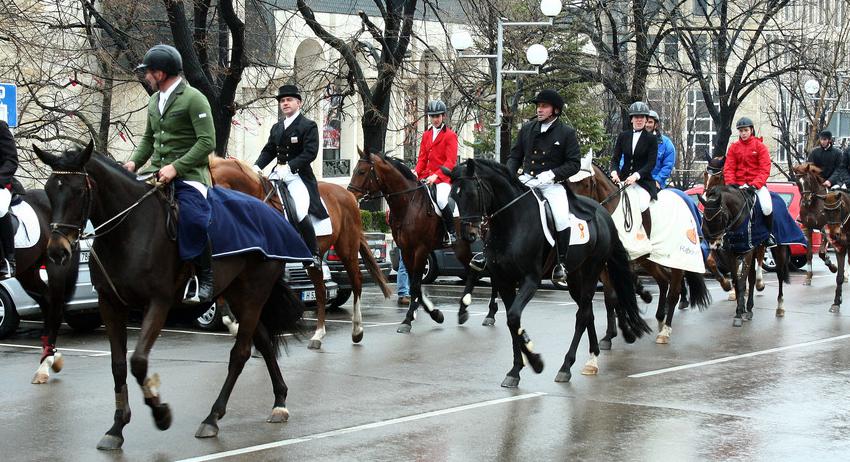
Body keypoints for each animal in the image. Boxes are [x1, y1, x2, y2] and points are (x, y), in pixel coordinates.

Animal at [37, 143, 308, 450]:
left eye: (79, 191)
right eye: (49, 190)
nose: (57, 251)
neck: (129, 230)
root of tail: (273, 212)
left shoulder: (158, 303)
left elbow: (138, 362)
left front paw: (160, 413)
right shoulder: (110, 304)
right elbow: (118, 366)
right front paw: (116, 427)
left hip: (253, 295)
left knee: (240, 353)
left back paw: (212, 417)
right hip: (237, 295)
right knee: (262, 341)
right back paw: (279, 401)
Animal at [205, 153, 390, 348]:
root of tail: (348, 195)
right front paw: (233, 325)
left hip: (347, 248)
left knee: (356, 282)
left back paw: (357, 330)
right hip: (314, 261)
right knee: (320, 290)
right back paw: (318, 335)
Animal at [448, 160, 644, 386]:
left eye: (471, 193)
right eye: (453, 196)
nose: (468, 234)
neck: (511, 222)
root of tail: (603, 211)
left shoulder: (530, 280)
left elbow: (513, 317)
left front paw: (535, 362)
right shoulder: (504, 281)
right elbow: (512, 322)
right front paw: (516, 368)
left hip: (592, 270)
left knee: (583, 314)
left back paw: (567, 366)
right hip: (574, 277)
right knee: (587, 312)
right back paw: (592, 358)